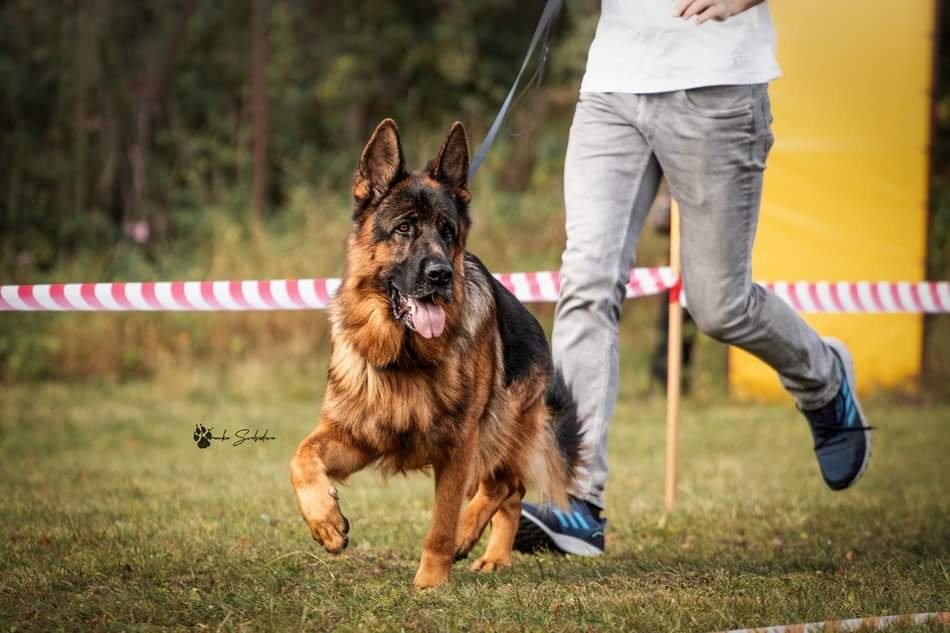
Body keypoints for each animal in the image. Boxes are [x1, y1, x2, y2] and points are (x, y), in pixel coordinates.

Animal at [290, 118, 584, 588]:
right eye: (405, 228)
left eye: (448, 232)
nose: (441, 275)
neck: (405, 357)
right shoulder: (357, 436)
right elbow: (301, 456)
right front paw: (326, 522)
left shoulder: (458, 446)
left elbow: (441, 522)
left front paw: (430, 582)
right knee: (510, 490)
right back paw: (496, 555)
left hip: (496, 428)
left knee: (504, 486)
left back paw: (472, 534)